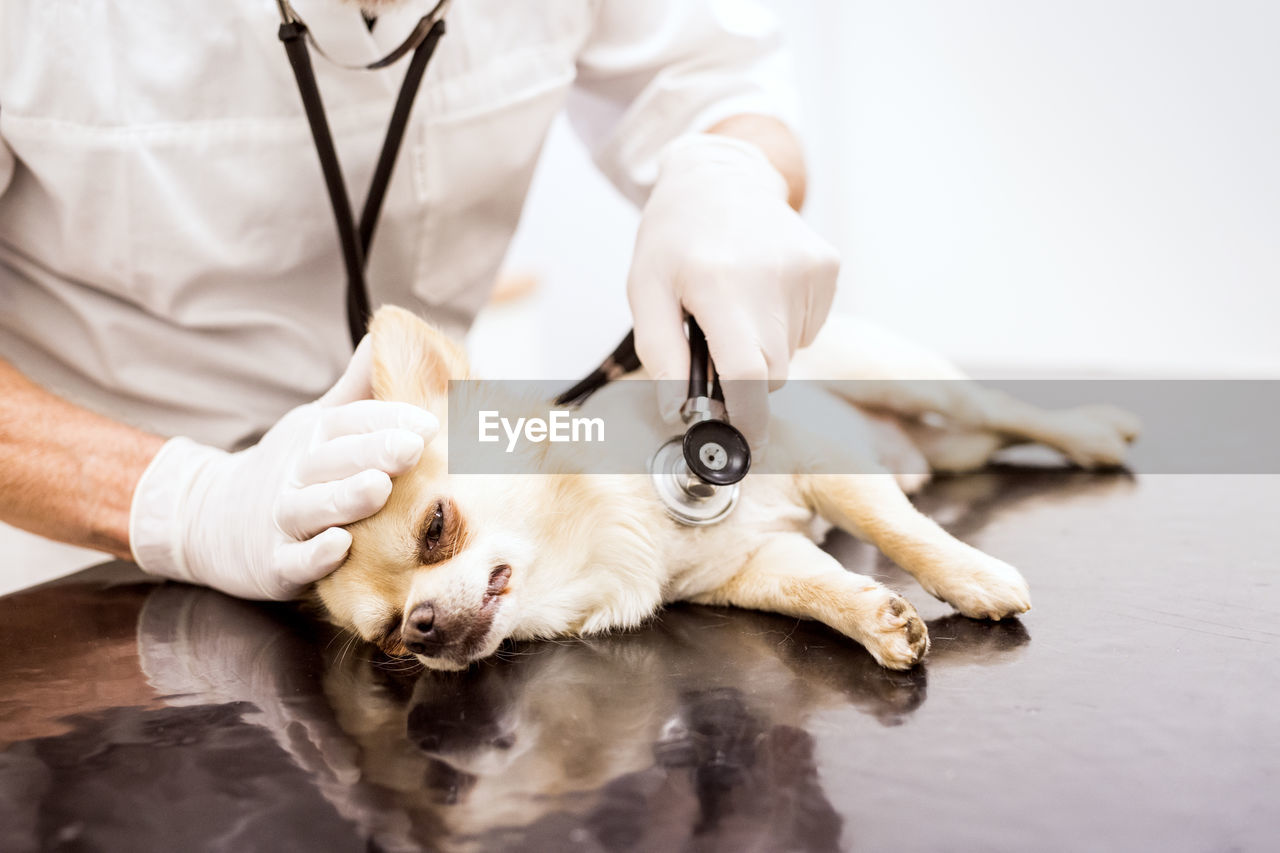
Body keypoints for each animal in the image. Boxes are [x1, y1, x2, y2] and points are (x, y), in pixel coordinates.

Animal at [317, 307, 1141, 671]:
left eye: (436, 526)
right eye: (389, 635)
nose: (423, 625)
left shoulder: (828, 464)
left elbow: (902, 531)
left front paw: (971, 576)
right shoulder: (756, 564)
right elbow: (816, 589)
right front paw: (877, 619)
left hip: (904, 381)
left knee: (1003, 409)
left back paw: (1094, 433)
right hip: (944, 448)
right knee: (980, 440)